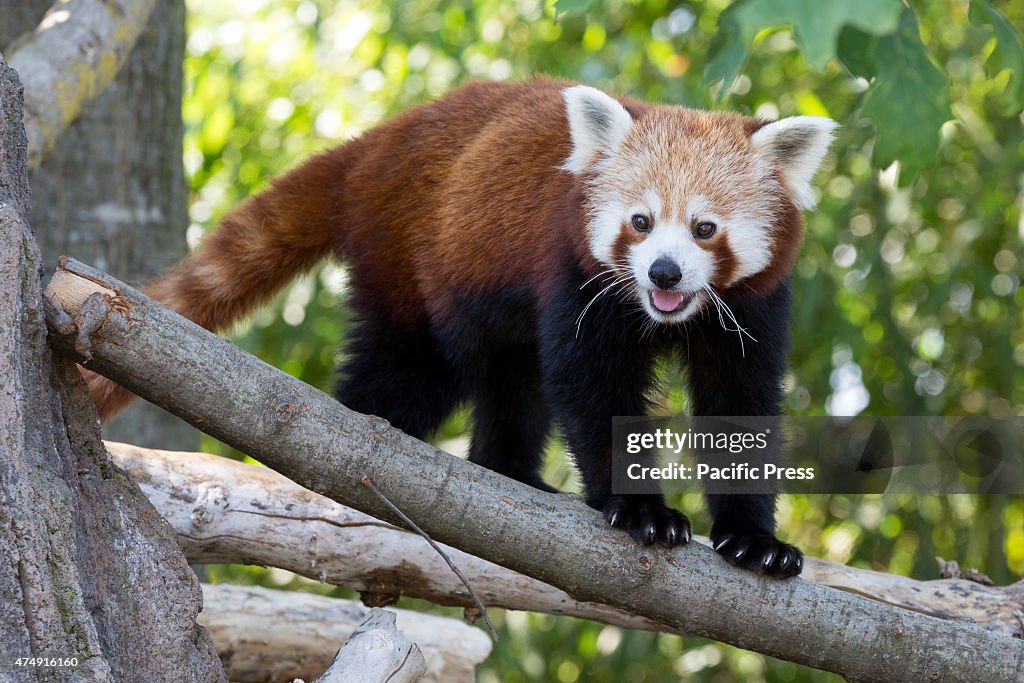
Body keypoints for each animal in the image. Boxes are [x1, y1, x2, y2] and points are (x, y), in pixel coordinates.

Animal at [88, 76, 835, 577]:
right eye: (641, 221)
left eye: (705, 228)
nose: (664, 274)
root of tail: (373, 144)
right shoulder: (573, 271)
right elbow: (593, 388)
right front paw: (641, 511)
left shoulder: (752, 307)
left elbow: (740, 403)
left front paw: (753, 540)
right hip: (412, 267)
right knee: (408, 373)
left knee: (515, 379)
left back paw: (510, 473)